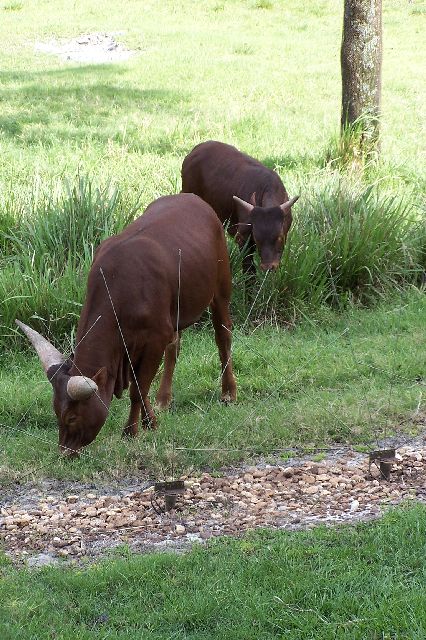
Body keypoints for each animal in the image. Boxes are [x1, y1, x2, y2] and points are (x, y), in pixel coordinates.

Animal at [16, 192, 236, 458]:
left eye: (71, 417)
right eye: (56, 412)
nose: (65, 453)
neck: (120, 286)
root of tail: (192, 198)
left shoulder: (154, 341)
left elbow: (137, 389)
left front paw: (131, 431)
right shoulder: (130, 346)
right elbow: (141, 384)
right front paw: (150, 421)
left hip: (221, 289)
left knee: (223, 337)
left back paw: (229, 392)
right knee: (175, 346)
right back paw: (164, 399)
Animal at [181, 141, 298, 276]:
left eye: (280, 236)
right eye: (256, 237)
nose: (268, 267)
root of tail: (195, 150)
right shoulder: (243, 237)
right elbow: (248, 268)